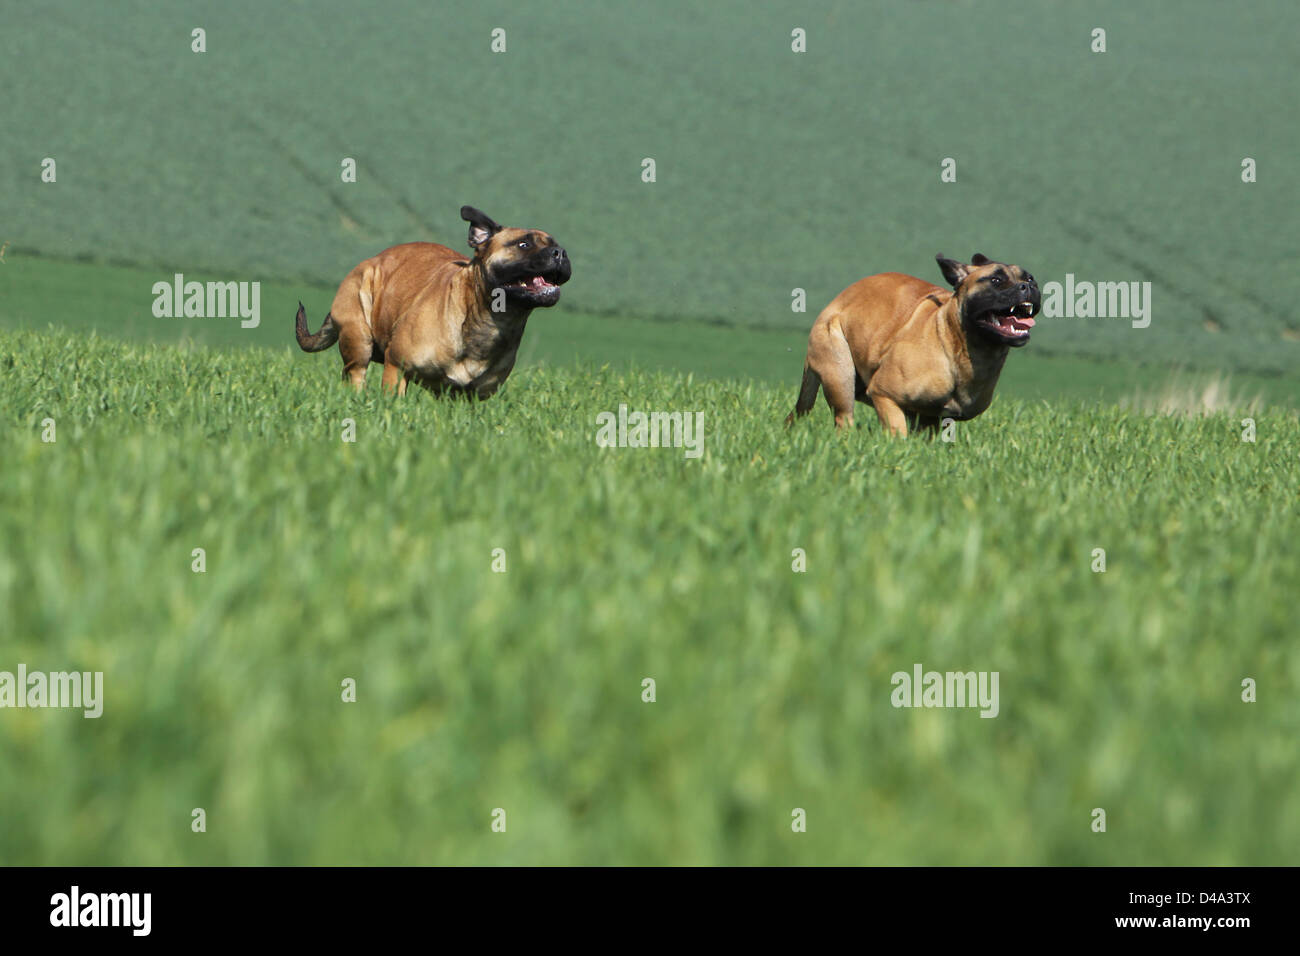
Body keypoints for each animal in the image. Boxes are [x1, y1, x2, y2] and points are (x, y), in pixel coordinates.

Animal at [301, 208, 577, 398]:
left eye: (556, 245)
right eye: (523, 244)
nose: (560, 253)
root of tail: (370, 260)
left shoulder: (470, 396)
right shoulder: (397, 365)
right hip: (358, 338)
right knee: (356, 372)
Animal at [785, 252, 1040, 434]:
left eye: (1030, 278)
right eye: (996, 280)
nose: (1029, 286)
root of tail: (835, 302)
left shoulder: (931, 419)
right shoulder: (884, 394)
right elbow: (898, 431)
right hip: (840, 374)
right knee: (843, 417)